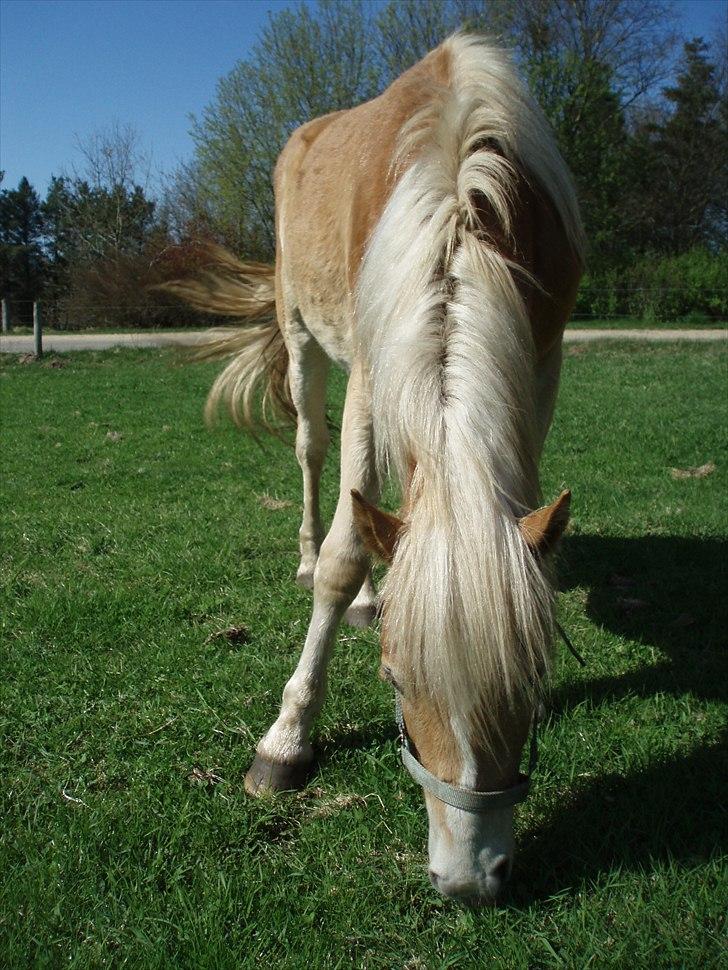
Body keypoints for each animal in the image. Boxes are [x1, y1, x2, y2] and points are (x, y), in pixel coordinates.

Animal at [168, 34, 584, 904]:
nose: (471, 878)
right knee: (314, 457)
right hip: (305, 341)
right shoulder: (367, 367)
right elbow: (340, 554)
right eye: (393, 681)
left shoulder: (541, 362)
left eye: (530, 679)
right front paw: (286, 740)